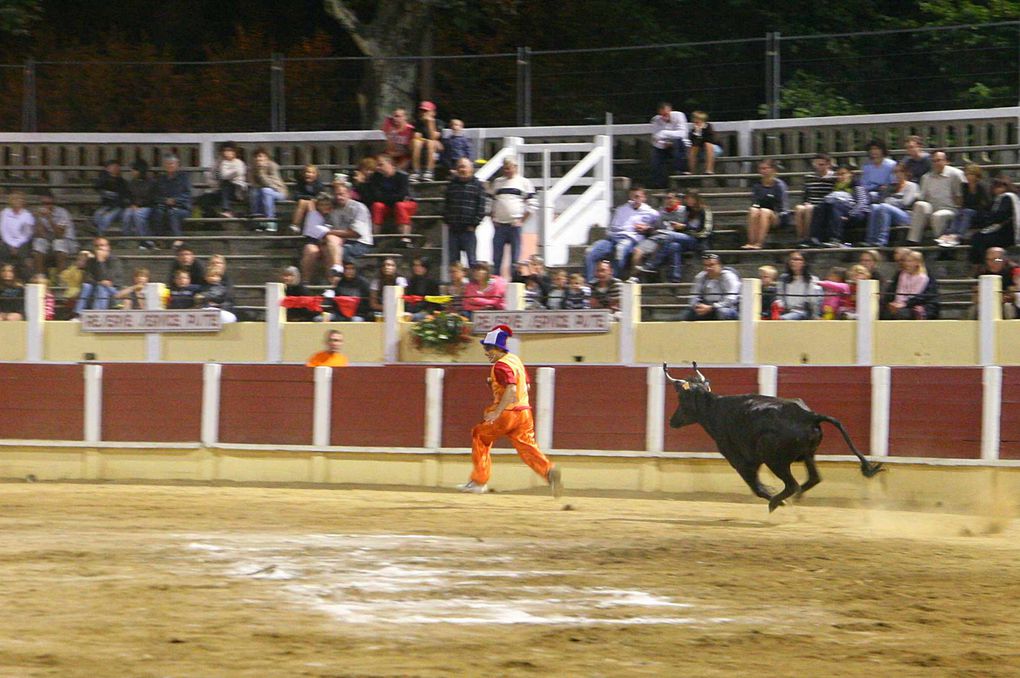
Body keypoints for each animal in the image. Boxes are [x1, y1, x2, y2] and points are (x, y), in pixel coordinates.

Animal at [665, 362, 881, 509]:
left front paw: (774, 498)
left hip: (775, 460)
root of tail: (809, 415)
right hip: (807, 455)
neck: (715, 408)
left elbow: (756, 487)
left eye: (681, 398)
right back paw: (795, 498)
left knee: (793, 484)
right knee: (813, 479)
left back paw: (778, 502)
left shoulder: (739, 460)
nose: (672, 421)